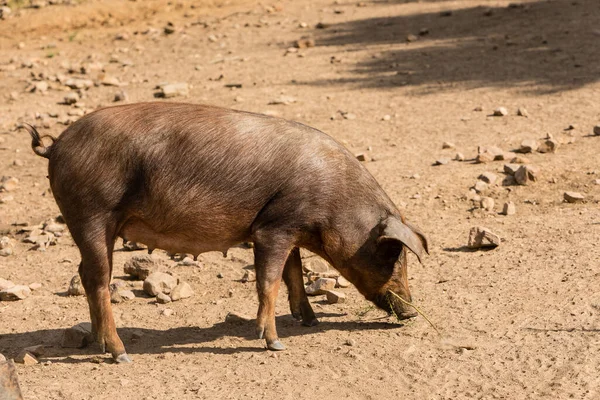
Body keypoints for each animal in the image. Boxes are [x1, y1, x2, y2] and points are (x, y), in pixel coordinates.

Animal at [23, 102, 426, 362]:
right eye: (393, 254)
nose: (411, 313)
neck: (334, 200)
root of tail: (56, 146)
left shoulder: (288, 229)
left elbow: (294, 274)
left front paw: (309, 320)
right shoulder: (272, 229)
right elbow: (269, 282)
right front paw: (275, 344)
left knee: (86, 275)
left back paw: (98, 345)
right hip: (91, 214)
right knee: (98, 279)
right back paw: (120, 355)